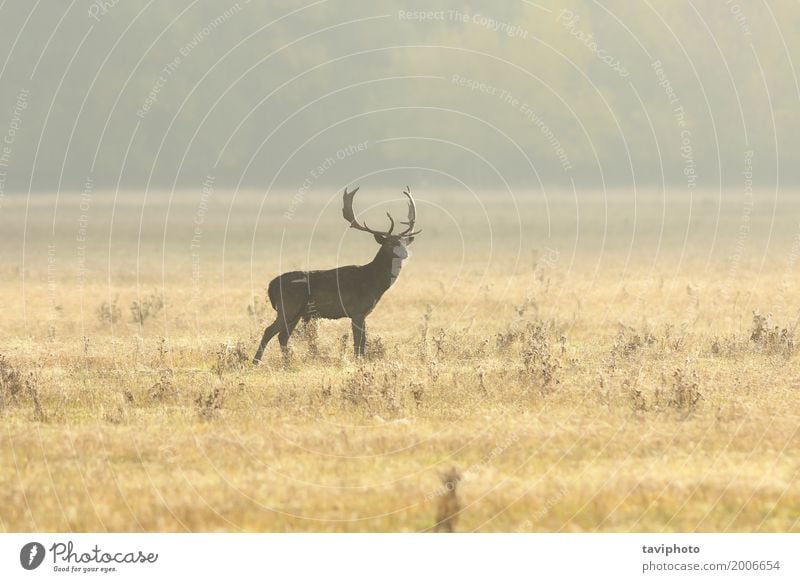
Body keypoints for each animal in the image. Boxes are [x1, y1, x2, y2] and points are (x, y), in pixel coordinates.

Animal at [253, 186, 422, 364]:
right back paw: (256, 361)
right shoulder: (357, 310)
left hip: (296, 313)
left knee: (283, 336)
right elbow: (358, 342)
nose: (405, 254)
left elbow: (363, 341)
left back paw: (288, 362)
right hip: (288, 306)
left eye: (404, 243)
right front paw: (358, 362)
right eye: (390, 243)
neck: (373, 283)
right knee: (269, 331)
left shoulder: (364, 312)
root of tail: (271, 285)